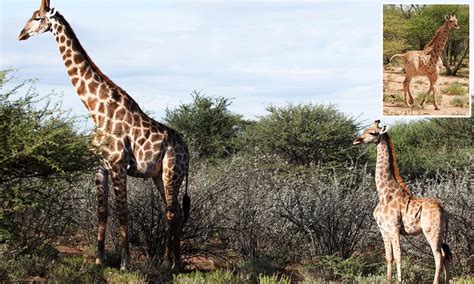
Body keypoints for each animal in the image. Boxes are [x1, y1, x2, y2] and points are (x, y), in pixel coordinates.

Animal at [352, 120, 452, 284]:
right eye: (366, 129)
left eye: (373, 132)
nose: (357, 140)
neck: (384, 194)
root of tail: (444, 211)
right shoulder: (383, 229)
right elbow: (388, 257)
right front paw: (388, 280)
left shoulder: (394, 228)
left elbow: (398, 256)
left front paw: (399, 280)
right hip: (442, 232)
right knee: (447, 255)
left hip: (431, 231)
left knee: (439, 256)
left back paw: (436, 281)